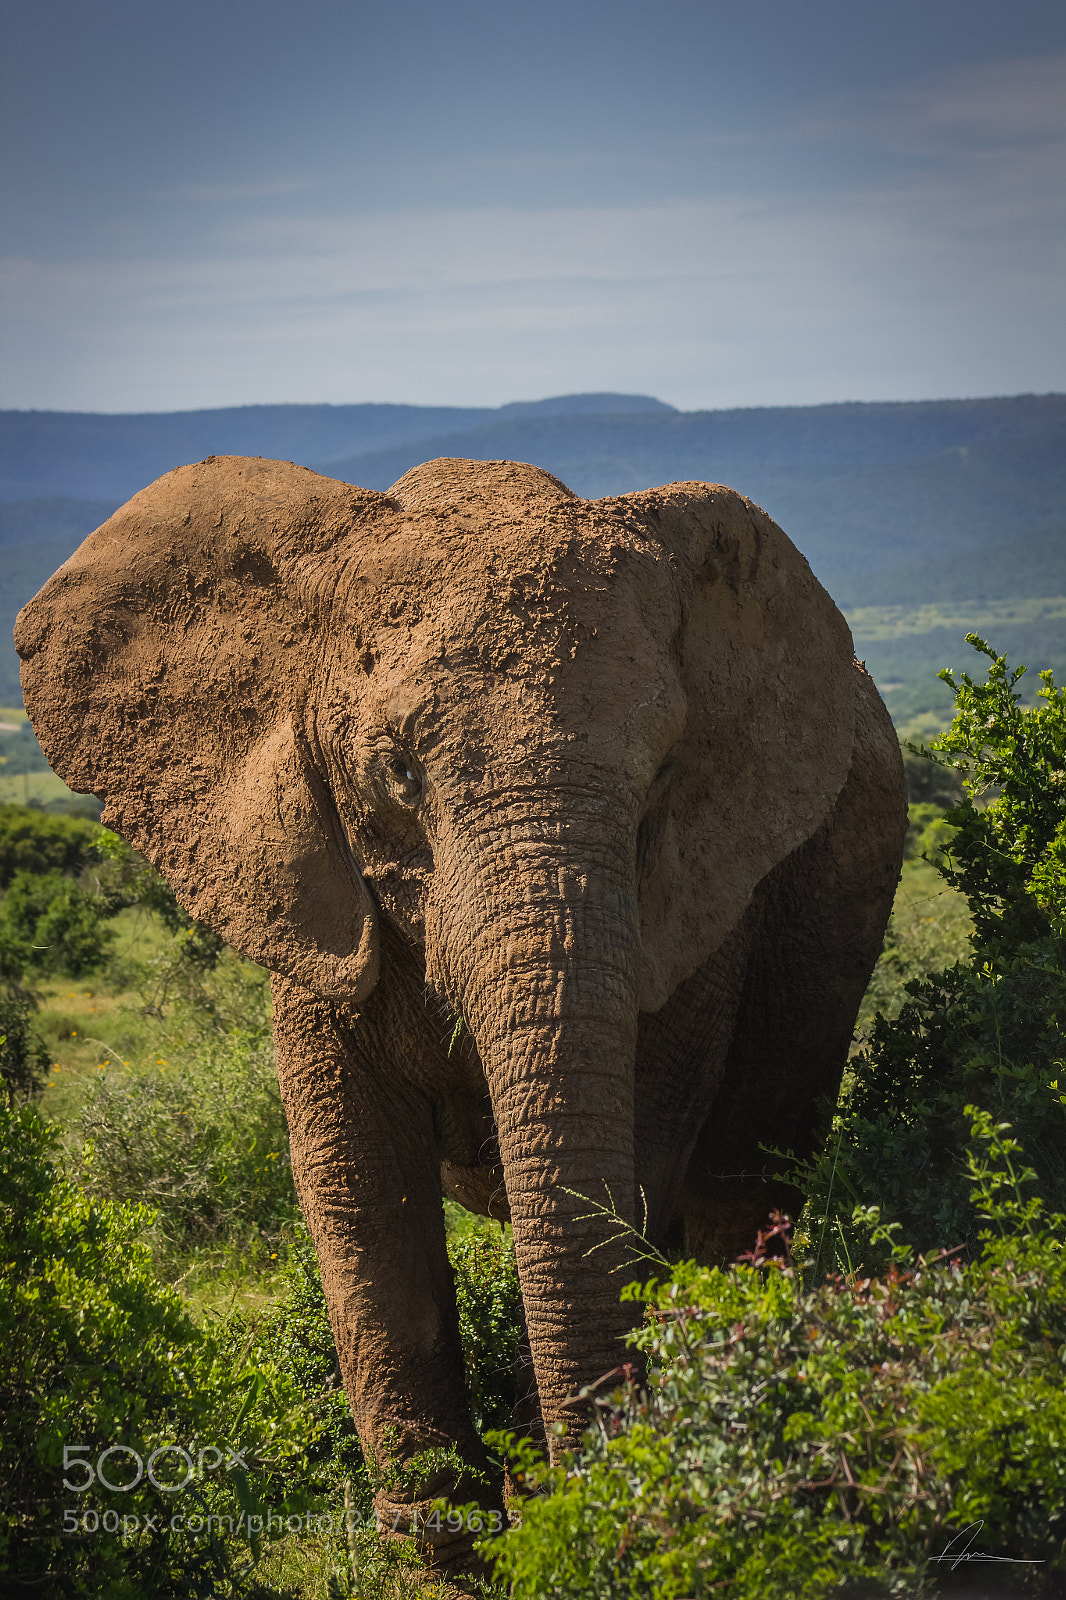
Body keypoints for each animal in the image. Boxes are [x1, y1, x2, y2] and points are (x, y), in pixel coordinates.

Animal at [16, 454, 905, 1570]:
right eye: (396, 767)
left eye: (664, 769)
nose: (581, 1500)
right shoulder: (308, 895)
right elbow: (358, 1183)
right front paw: (445, 1553)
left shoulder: (701, 910)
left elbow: (636, 1158)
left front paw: (554, 1511)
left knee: (735, 1192)